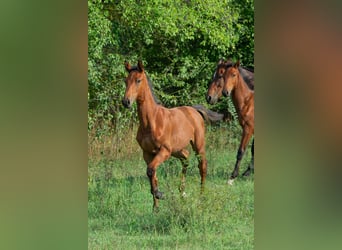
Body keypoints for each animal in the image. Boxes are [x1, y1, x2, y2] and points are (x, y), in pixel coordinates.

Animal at [121, 60, 223, 211]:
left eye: (138, 80)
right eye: (126, 81)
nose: (126, 102)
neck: (152, 121)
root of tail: (194, 110)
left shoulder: (164, 151)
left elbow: (150, 170)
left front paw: (159, 194)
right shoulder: (147, 153)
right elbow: (152, 173)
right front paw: (155, 207)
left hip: (197, 145)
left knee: (202, 166)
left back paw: (201, 196)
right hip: (177, 150)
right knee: (186, 158)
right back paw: (182, 192)